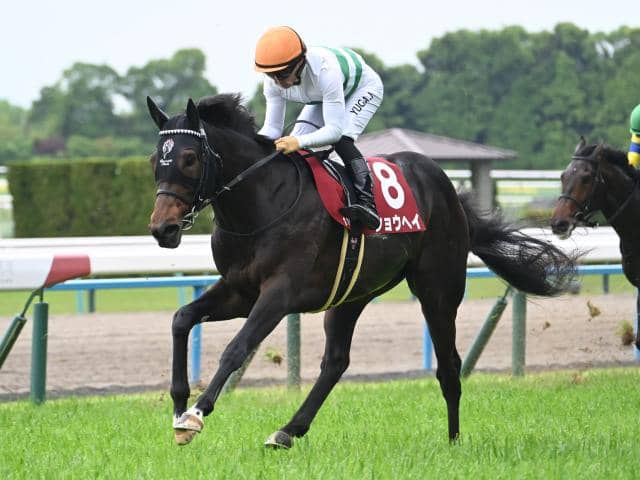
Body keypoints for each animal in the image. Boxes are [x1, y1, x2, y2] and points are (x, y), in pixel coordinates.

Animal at [146, 93, 576, 448]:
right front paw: (178, 404)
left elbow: (236, 348)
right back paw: (288, 431)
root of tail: (449, 189)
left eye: (189, 158)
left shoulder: (280, 293)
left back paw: (454, 441)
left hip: (438, 290)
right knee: (336, 361)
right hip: (352, 293)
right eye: (154, 160)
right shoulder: (240, 290)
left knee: (449, 365)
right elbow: (181, 319)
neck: (263, 204)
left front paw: (195, 415)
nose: (162, 228)